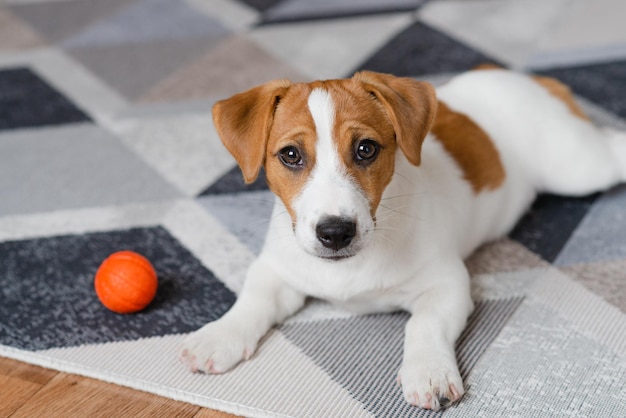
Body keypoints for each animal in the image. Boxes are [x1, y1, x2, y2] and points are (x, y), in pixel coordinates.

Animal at [180, 69, 624, 412]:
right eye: (290, 155)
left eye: (366, 149)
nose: (335, 232)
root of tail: (530, 79)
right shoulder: (275, 269)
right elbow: (252, 301)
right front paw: (219, 336)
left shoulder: (447, 284)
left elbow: (422, 325)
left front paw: (429, 372)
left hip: (579, 167)